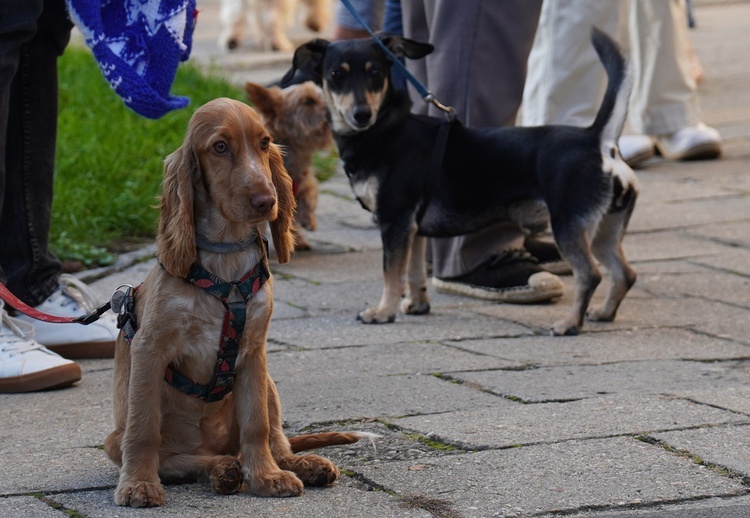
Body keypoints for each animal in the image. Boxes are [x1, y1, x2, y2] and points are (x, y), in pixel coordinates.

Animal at [280, 29, 640, 338]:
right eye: (336, 75)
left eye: (376, 73)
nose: (361, 114)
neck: (384, 131)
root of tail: (597, 141)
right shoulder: (412, 228)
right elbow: (413, 271)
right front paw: (417, 305)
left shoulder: (394, 221)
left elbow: (390, 273)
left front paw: (382, 312)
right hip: (603, 230)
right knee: (624, 273)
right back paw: (604, 313)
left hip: (568, 225)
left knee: (590, 274)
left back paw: (569, 324)